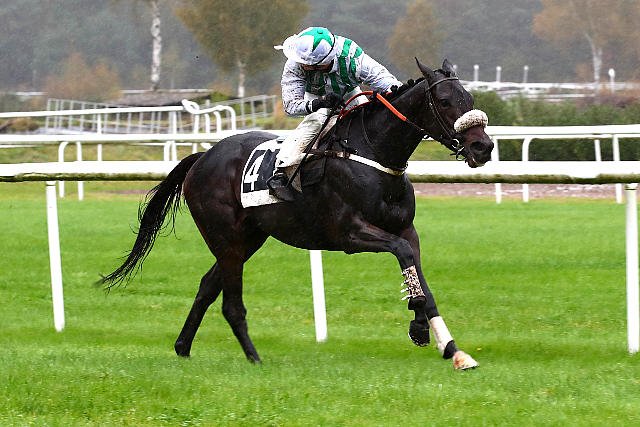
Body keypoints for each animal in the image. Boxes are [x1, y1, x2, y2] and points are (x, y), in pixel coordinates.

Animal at [100, 59, 494, 370]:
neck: (373, 154)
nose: (483, 146)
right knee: (230, 303)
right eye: (444, 101)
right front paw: (420, 327)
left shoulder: (406, 228)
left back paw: (183, 347)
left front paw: (451, 348)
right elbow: (403, 254)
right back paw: (254, 359)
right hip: (226, 238)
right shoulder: (350, 232)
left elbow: (418, 273)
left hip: (248, 238)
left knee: (208, 286)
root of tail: (202, 157)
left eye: (470, 99)